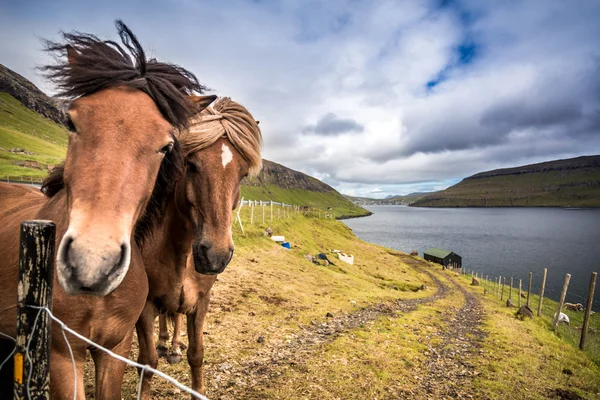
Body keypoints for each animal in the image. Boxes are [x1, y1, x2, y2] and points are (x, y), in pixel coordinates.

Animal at [137, 97, 262, 396]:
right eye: (191, 164)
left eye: (243, 174)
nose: (215, 255)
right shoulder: (145, 306)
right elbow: (147, 362)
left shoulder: (201, 301)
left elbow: (196, 355)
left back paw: (172, 347)